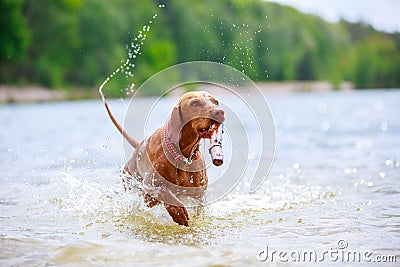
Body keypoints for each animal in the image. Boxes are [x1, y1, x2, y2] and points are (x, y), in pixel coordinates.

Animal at [103, 91, 225, 226]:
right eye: (195, 103)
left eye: (216, 102)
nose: (220, 112)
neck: (182, 157)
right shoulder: (147, 192)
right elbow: (163, 191)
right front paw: (178, 212)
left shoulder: (199, 199)